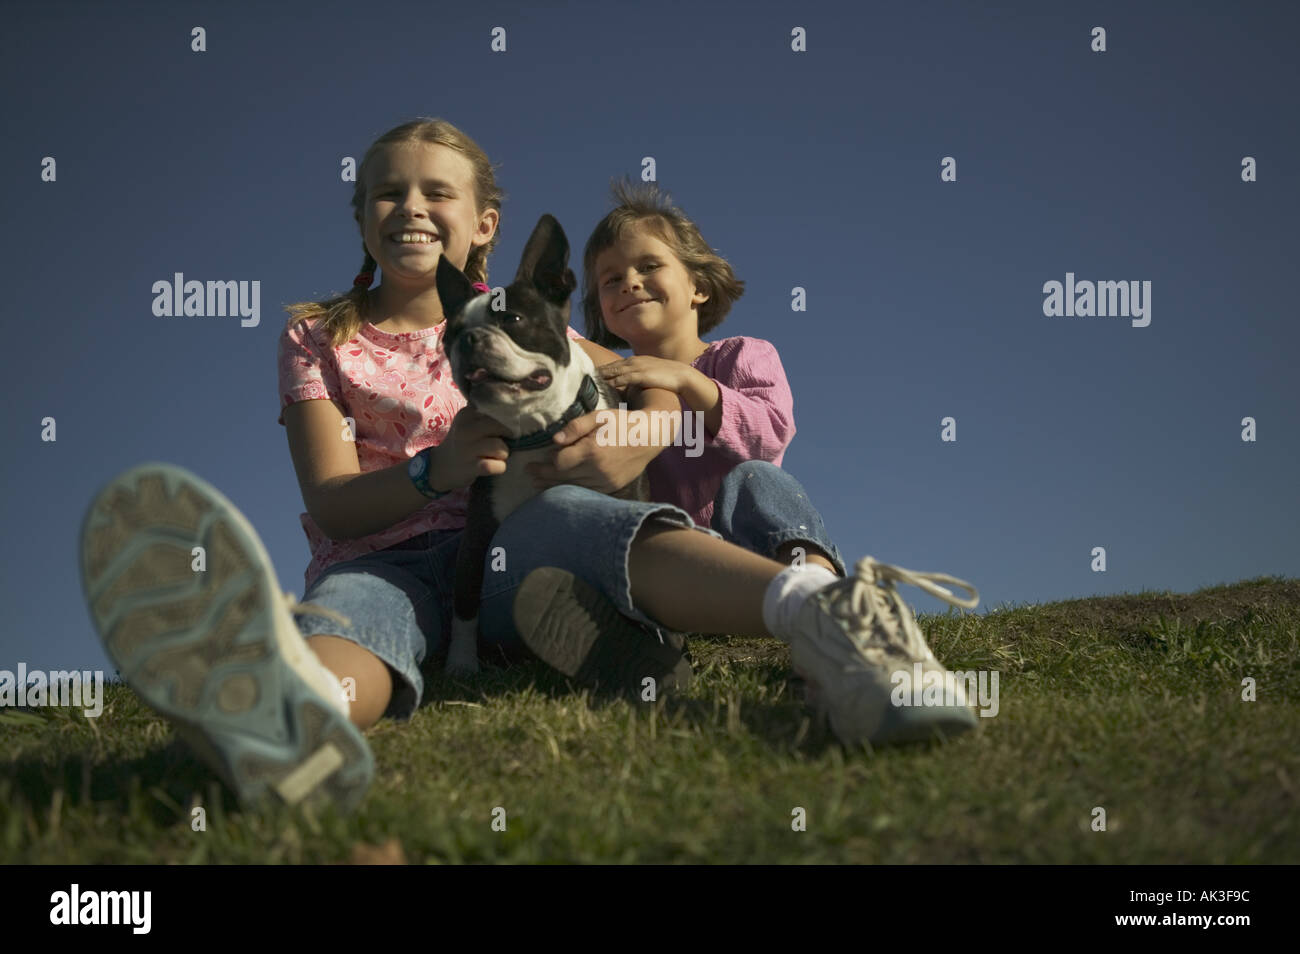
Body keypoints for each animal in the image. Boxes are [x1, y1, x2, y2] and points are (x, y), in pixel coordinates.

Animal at [434, 217, 647, 681]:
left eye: (512, 318)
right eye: (449, 335)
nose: (468, 339)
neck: (537, 430)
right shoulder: (478, 535)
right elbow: (464, 603)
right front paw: (461, 663)